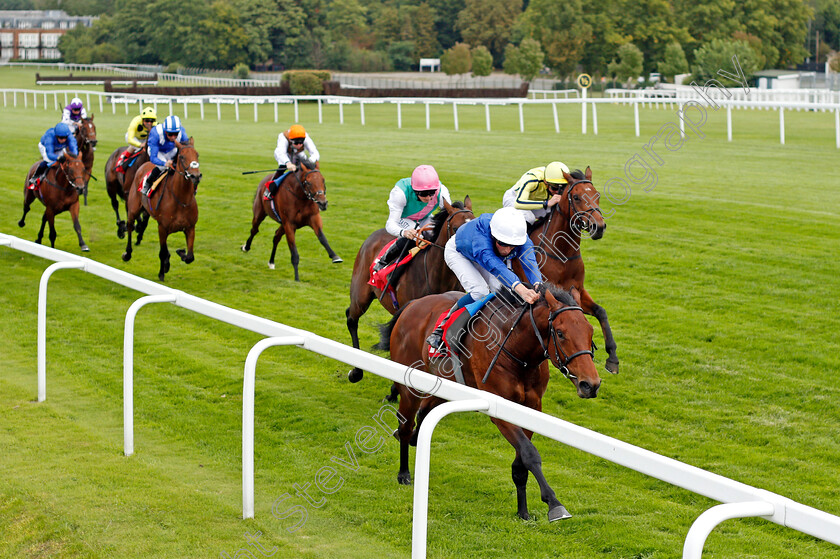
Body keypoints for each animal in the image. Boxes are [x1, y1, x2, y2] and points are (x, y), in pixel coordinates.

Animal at [121, 138, 202, 282]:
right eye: (182, 156)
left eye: (197, 155)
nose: (196, 176)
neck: (181, 199)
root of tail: (145, 163)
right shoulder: (162, 228)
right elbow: (162, 252)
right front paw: (162, 271)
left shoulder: (190, 227)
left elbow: (190, 257)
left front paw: (180, 252)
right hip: (133, 208)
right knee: (130, 227)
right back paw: (127, 253)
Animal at [384, 286, 600, 524]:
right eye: (560, 333)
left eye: (590, 331)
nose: (590, 384)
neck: (518, 351)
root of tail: (412, 305)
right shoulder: (499, 409)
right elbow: (529, 453)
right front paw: (554, 504)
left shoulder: (531, 408)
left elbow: (521, 462)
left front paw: (523, 511)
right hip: (409, 386)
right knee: (406, 424)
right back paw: (404, 473)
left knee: (424, 411)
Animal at [528, 167, 620, 376]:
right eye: (576, 197)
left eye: (597, 195)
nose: (598, 227)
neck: (562, 254)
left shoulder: (577, 290)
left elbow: (601, 312)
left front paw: (612, 358)